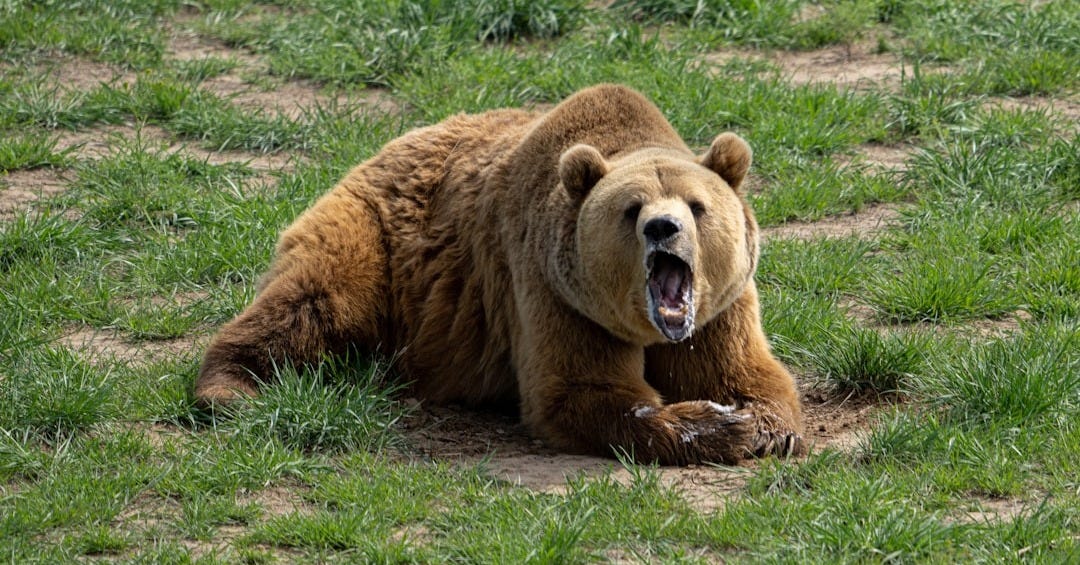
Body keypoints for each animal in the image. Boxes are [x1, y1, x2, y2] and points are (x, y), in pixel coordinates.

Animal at [196, 84, 804, 465]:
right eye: (631, 209)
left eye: (697, 206)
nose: (662, 228)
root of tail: (383, 146)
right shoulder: (553, 290)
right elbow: (579, 390)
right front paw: (718, 425)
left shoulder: (720, 308)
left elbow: (747, 373)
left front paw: (757, 424)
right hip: (375, 239)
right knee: (311, 302)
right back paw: (232, 387)